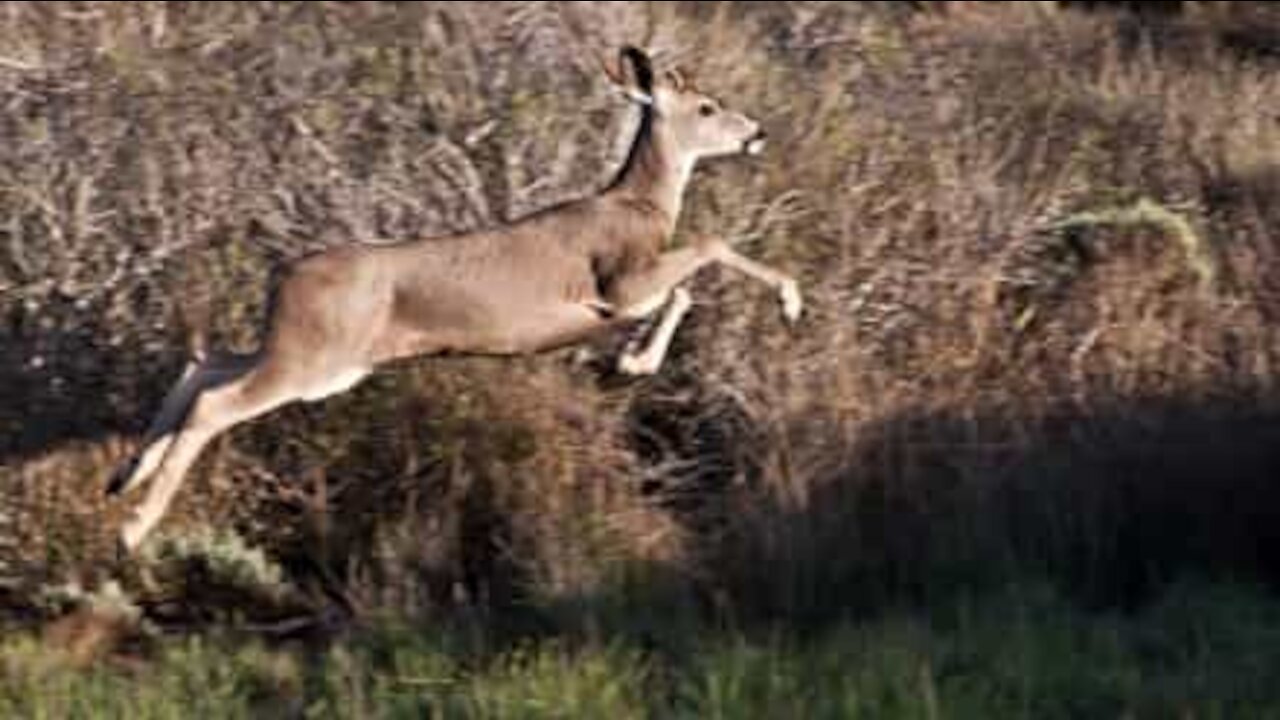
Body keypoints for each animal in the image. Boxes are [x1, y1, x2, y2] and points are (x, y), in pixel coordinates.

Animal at [112, 46, 808, 548]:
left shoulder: (619, 297)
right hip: (312, 357)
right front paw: (791, 302)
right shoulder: (618, 279)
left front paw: (635, 360)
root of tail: (282, 278)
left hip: (311, 355)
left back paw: (125, 477)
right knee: (216, 401)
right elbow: (707, 249)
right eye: (708, 107)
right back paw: (132, 531)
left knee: (205, 364)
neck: (639, 206)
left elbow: (682, 290)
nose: (759, 132)